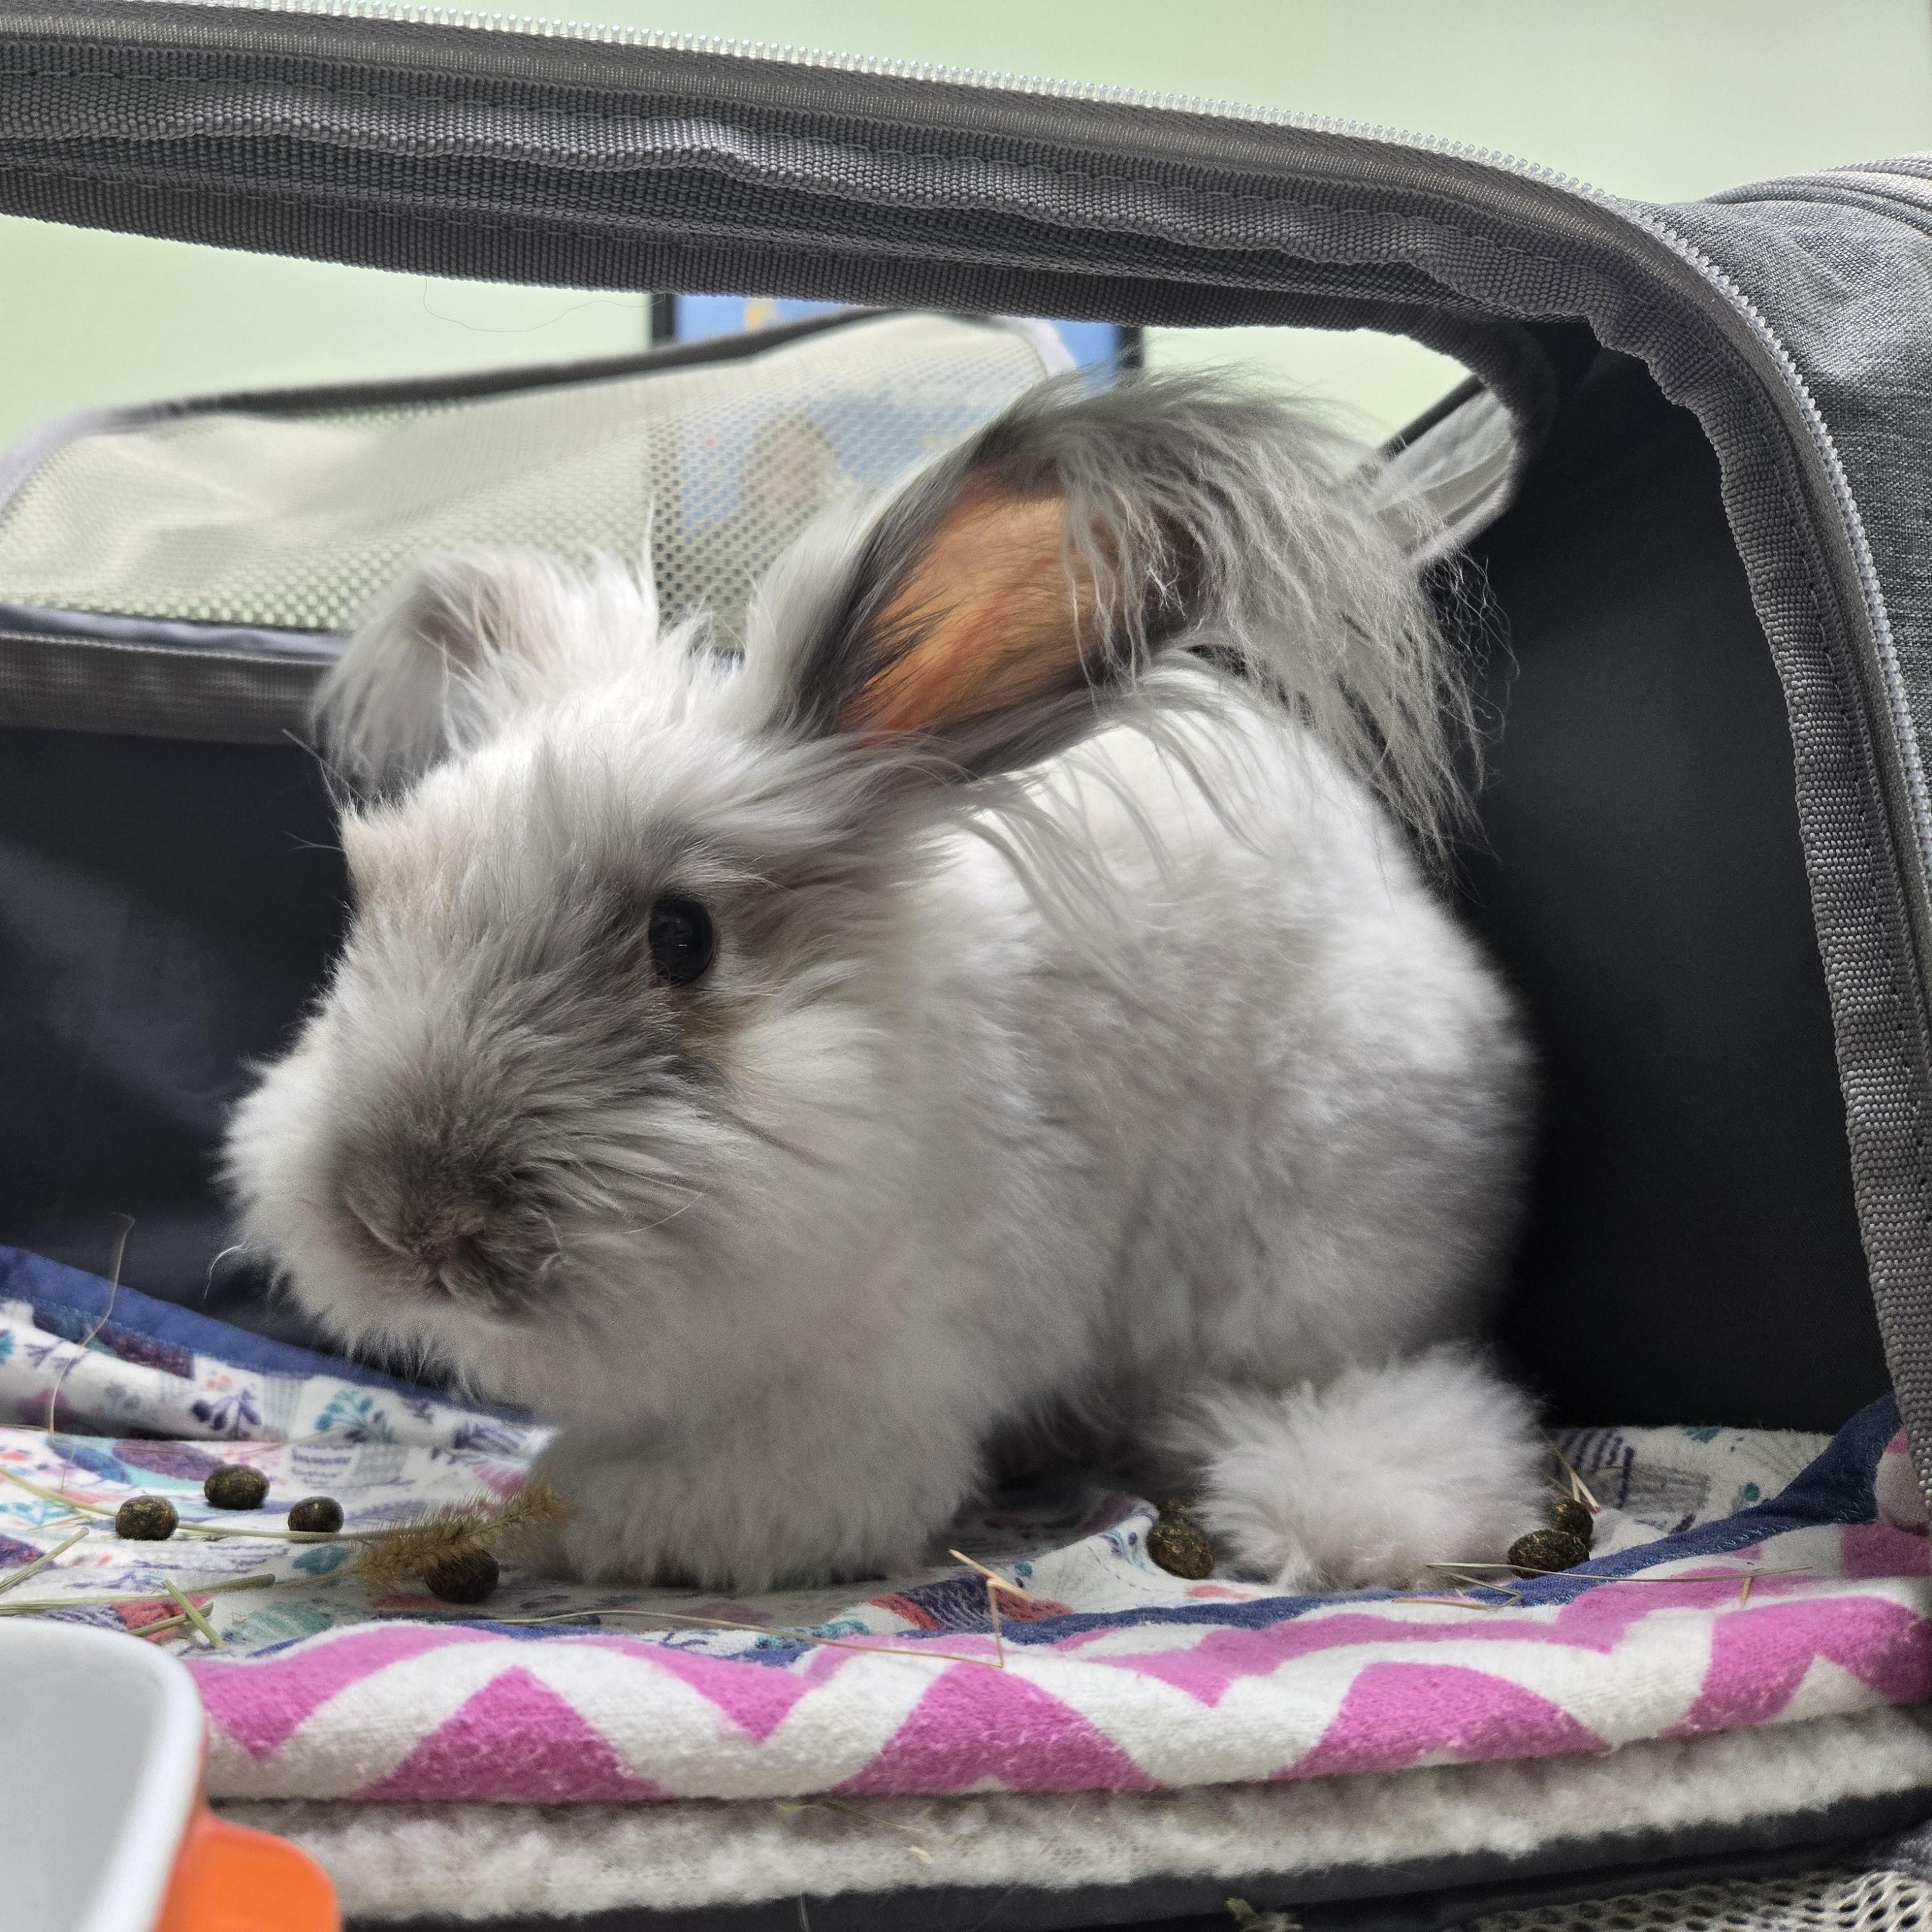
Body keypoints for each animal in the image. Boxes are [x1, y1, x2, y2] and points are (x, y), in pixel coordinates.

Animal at [222, 372, 1547, 1594]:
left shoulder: (873, 1404)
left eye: (683, 939)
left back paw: (1333, 1507)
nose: (409, 1221)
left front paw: (567, 1509)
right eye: (370, 904)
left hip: (1298, 1272)